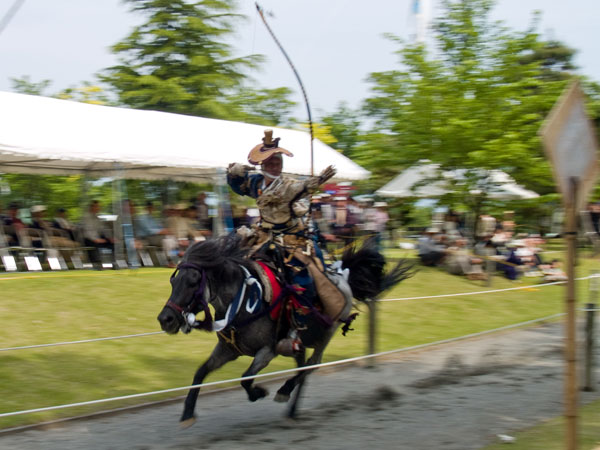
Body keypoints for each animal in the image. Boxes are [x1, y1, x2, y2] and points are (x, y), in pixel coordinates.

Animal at [157, 234, 410, 428]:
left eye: (193, 281)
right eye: (173, 282)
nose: (165, 319)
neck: (243, 301)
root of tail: (342, 276)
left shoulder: (268, 350)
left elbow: (246, 379)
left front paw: (260, 392)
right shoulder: (228, 350)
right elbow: (200, 373)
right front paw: (187, 414)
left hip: (326, 333)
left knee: (311, 365)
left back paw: (284, 391)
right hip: (298, 342)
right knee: (302, 365)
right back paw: (292, 408)